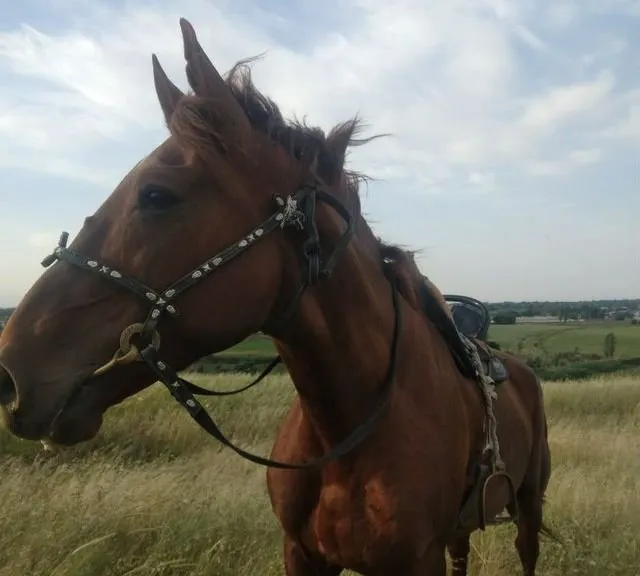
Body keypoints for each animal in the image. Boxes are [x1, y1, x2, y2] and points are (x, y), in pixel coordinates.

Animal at [0, 18, 552, 575]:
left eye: (156, 195)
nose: (9, 372)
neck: (348, 429)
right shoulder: (302, 553)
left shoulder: (417, 560)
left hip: (528, 505)